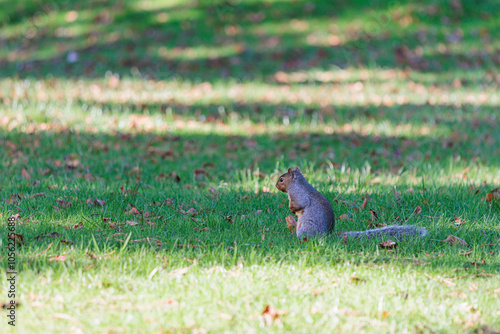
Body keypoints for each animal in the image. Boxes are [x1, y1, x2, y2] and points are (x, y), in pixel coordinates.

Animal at [276, 167, 428, 240]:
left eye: (282, 179)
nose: (276, 186)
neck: (297, 184)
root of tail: (327, 236)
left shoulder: (298, 196)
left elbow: (298, 205)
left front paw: (292, 210)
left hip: (305, 229)